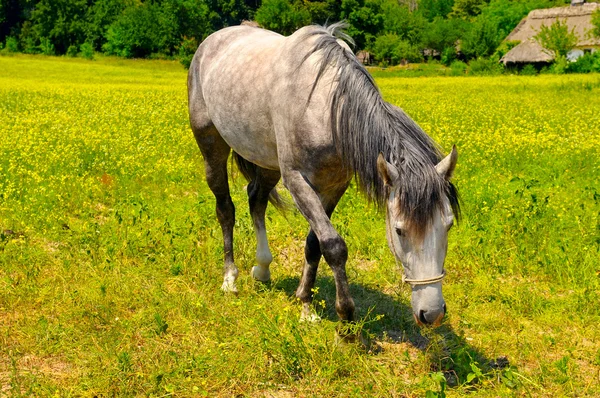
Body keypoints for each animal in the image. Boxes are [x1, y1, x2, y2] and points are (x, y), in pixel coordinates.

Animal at [188, 22, 460, 326]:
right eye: (399, 230)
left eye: (448, 225)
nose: (432, 313)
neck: (328, 110)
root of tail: (212, 41)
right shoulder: (297, 181)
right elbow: (333, 245)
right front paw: (345, 313)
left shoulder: (334, 186)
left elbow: (313, 244)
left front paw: (306, 304)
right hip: (212, 146)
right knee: (226, 209)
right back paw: (230, 279)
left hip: (268, 163)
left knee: (256, 199)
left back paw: (262, 268)